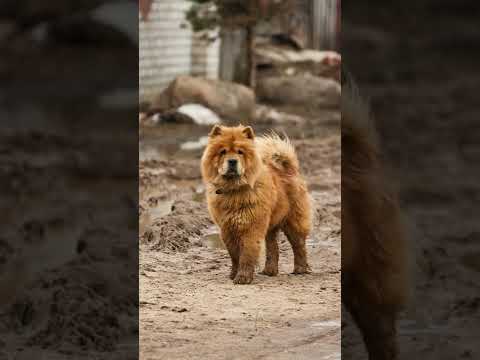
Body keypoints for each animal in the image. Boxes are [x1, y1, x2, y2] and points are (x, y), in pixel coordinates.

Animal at [200, 125, 310, 286]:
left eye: (240, 152)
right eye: (223, 152)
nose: (232, 161)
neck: (234, 190)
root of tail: (289, 169)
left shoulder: (251, 227)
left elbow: (247, 253)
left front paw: (243, 278)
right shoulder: (227, 228)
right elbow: (234, 255)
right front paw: (233, 274)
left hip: (293, 221)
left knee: (299, 245)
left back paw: (300, 269)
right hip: (270, 226)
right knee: (273, 248)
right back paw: (269, 271)